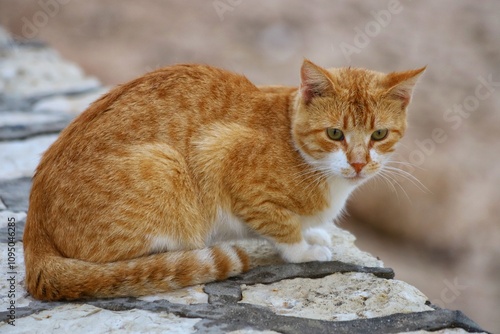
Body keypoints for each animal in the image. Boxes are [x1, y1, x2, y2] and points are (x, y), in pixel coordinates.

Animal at [22, 59, 422, 300]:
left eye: (379, 135)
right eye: (335, 133)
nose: (358, 163)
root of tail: (34, 231)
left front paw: (314, 234)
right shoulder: (222, 155)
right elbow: (282, 229)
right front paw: (305, 249)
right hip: (165, 166)